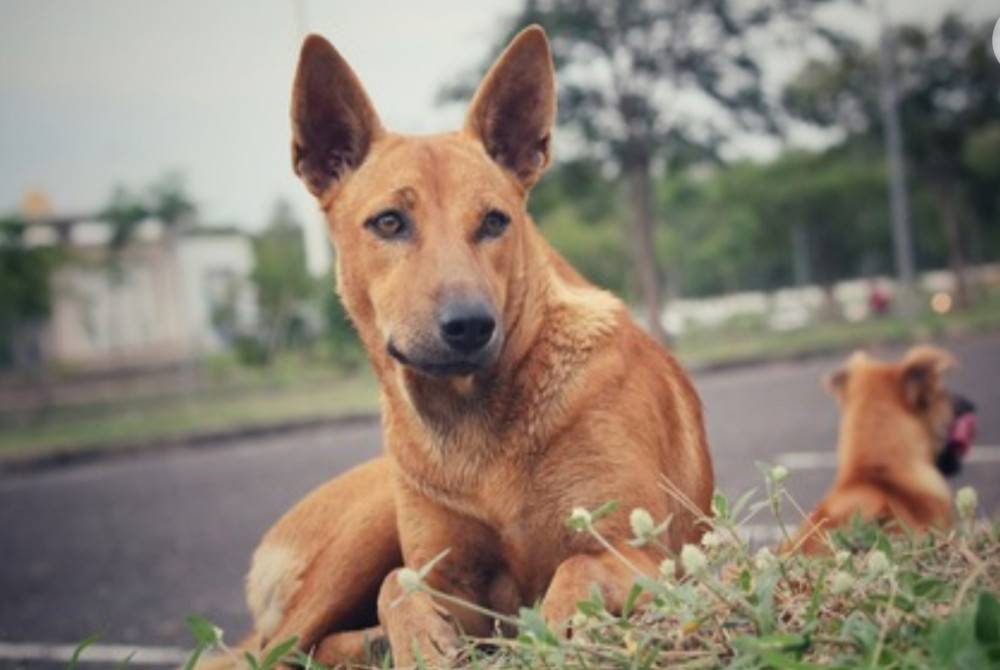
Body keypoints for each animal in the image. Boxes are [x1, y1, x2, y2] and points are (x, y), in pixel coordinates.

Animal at [207, 23, 716, 668]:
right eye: (389, 222)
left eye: (495, 222)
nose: (471, 325)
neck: (477, 431)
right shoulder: (454, 581)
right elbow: (399, 585)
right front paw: (419, 640)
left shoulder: (646, 551)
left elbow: (574, 571)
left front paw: (554, 635)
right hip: (364, 529)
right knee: (273, 648)